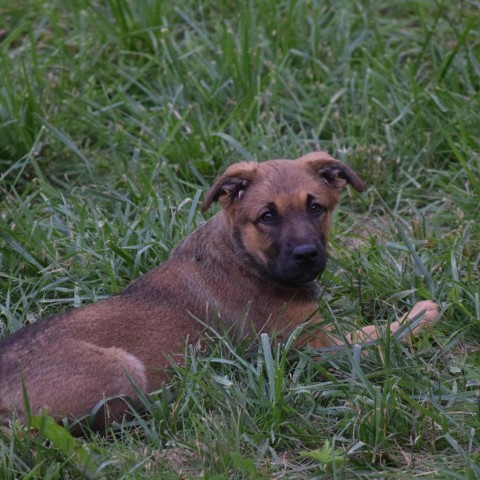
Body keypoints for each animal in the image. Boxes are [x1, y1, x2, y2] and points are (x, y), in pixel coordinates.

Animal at [0, 151, 440, 428]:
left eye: (316, 207)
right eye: (267, 216)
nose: (307, 255)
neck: (243, 256)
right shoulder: (312, 347)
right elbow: (378, 335)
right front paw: (421, 313)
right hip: (119, 368)